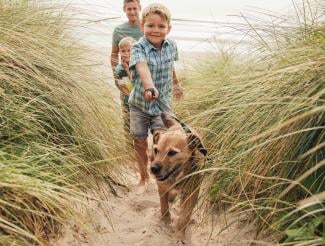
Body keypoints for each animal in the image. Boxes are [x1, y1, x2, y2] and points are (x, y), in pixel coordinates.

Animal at [150, 113, 206, 242]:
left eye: (172, 153)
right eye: (156, 150)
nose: (153, 168)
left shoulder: (191, 194)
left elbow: (184, 217)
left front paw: (180, 235)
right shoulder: (162, 187)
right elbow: (164, 206)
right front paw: (165, 220)